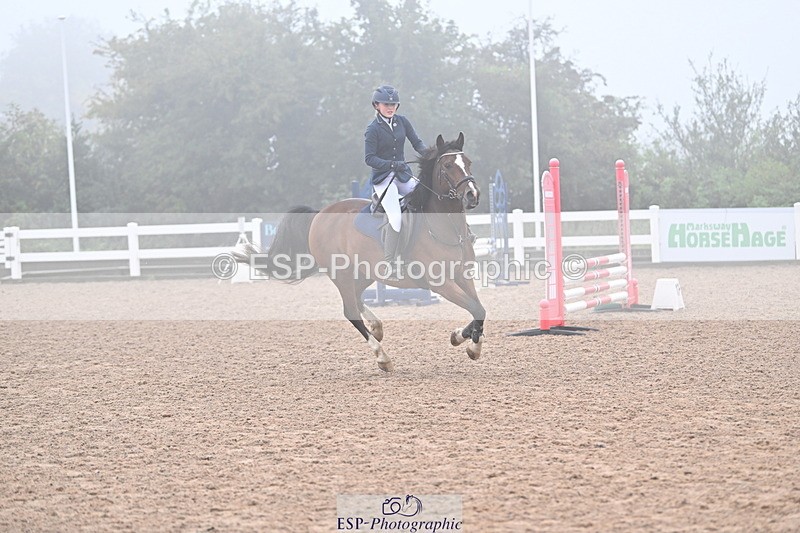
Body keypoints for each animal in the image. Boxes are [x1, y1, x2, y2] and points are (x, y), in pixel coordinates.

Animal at [233, 133, 485, 372]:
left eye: (468, 162)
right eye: (447, 166)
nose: (472, 195)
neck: (446, 228)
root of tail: (320, 214)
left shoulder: (463, 276)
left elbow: (478, 308)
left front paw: (461, 338)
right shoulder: (441, 283)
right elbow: (476, 309)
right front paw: (471, 346)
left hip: (364, 273)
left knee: (357, 297)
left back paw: (377, 327)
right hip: (341, 274)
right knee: (350, 310)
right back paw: (382, 357)